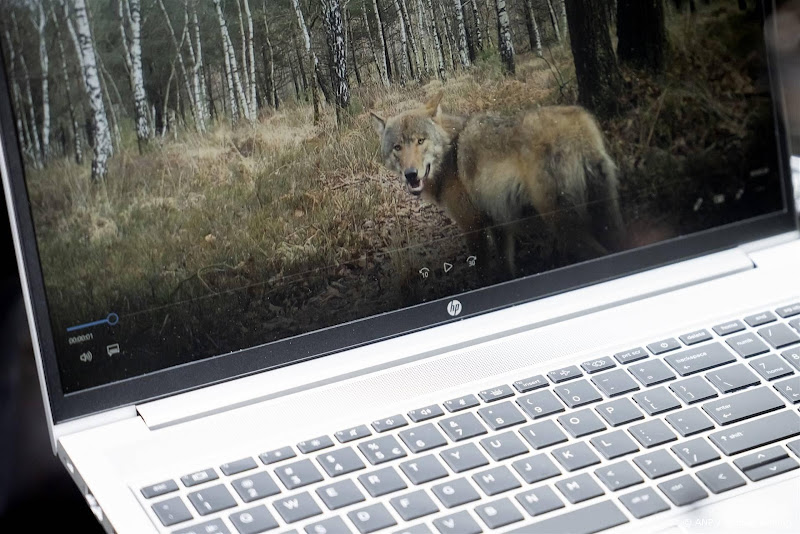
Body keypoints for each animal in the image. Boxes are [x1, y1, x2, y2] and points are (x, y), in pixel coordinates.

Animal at [371, 93, 624, 275]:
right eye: (397, 147)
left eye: (420, 141)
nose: (411, 174)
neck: (450, 154)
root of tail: (577, 124)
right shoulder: (498, 222)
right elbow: (505, 267)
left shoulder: (472, 226)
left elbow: (482, 272)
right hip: (606, 218)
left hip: (564, 227)